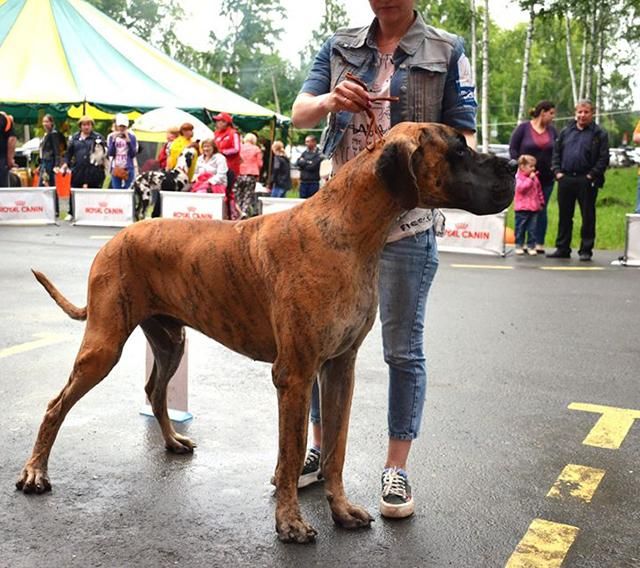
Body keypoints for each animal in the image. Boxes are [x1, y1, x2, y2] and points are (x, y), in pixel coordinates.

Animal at [16, 123, 515, 543]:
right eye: (458, 149)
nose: (511, 166)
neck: (350, 233)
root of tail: (115, 239)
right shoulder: (294, 374)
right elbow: (291, 452)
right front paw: (291, 522)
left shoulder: (340, 368)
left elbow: (336, 449)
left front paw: (341, 510)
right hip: (104, 344)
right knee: (56, 404)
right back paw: (35, 473)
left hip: (171, 341)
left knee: (155, 392)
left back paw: (173, 442)